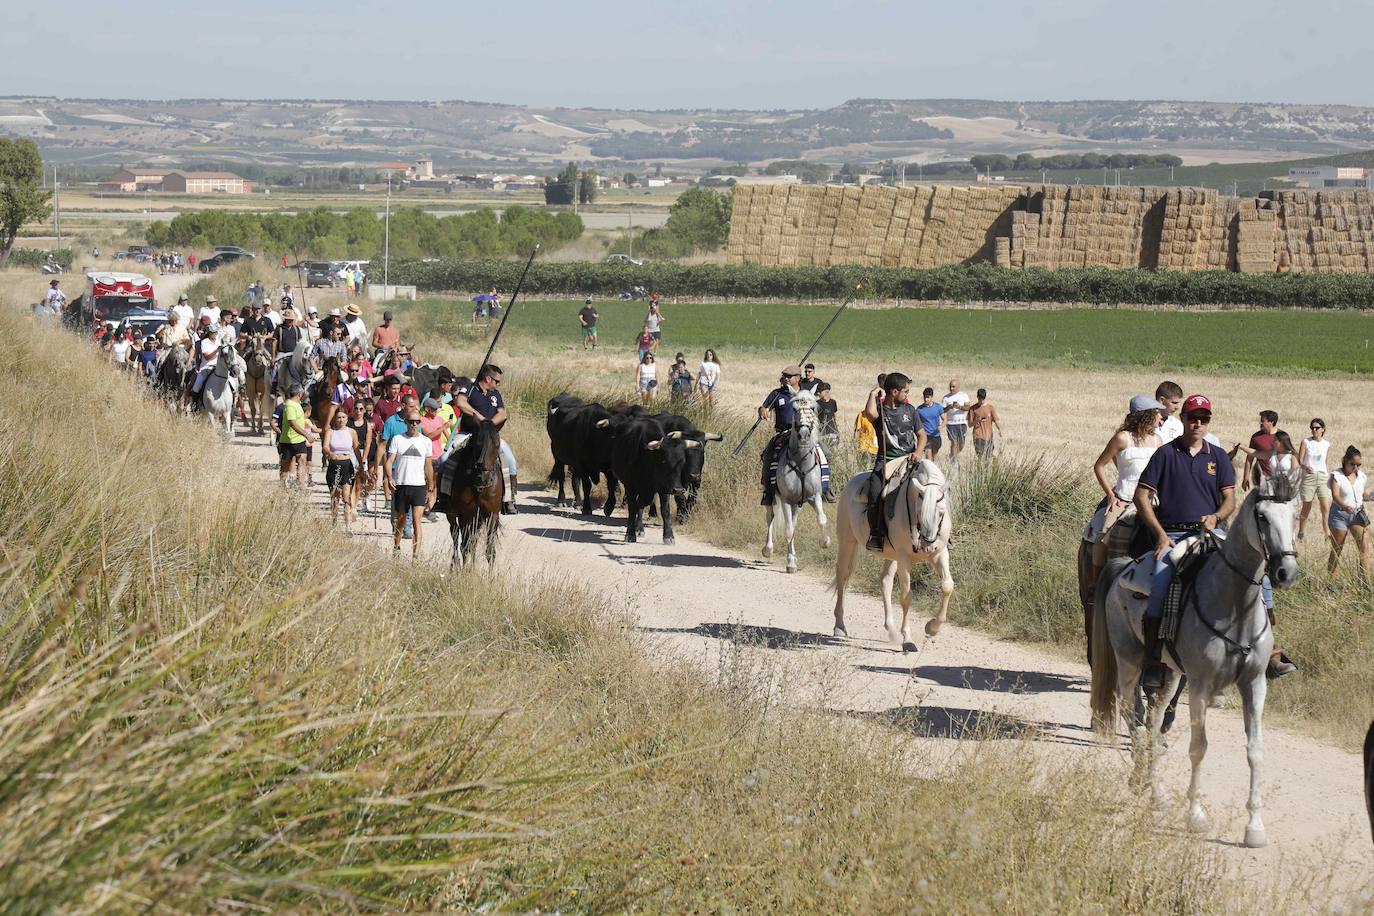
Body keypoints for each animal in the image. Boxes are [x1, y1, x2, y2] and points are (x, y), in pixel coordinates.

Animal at [442, 420, 502, 565]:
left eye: (497, 444)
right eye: (477, 443)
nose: (484, 478)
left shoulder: (492, 516)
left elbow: (490, 551)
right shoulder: (465, 515)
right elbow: (465, 546)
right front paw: (465, 569)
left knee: (472, 543)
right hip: (453, 515)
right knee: (456, 536)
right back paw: (456, 564)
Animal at [824, 458, 956, 650]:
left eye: (941, 513)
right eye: (919, 511)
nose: (927, 548)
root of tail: (852, 480)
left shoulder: (940, 554)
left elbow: (947, 586)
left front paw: (932, 627)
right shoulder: (904, 558)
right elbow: (906, 597)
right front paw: (907, 639)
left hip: (891, 556)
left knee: (885, 581)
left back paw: (891, 630)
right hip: (847, 541)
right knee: (842, 576)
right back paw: (839, 626)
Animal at [1082, 472, 1297, 851]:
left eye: (1294, 516)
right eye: (1262, 516)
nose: (1286, 571)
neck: (1235, 605)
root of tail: (1122, 568)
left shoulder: (1254, 684)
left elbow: (1255, 750)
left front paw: (1254, 827)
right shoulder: (1199, 685)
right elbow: (1199, 747)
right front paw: (1196, 816)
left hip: (1168, 674)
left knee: (1153, 722)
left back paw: (1157, 793)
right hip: (1129, 661)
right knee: (1131, 712)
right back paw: (1140, 781)